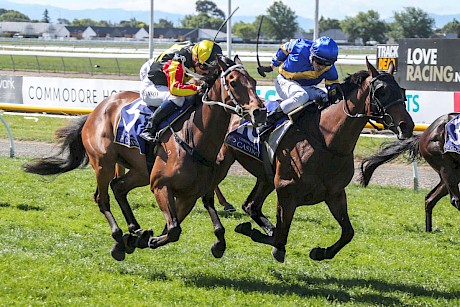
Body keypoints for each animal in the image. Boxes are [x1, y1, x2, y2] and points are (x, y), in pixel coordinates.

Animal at [23, 54, 266, 260]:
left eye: (254, 81)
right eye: (233, 82)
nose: (259, 112)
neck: (194, 137)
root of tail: (97, 110)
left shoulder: (190, 194)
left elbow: (180, 226)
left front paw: (143, 238)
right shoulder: (160, 186)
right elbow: (174, 229)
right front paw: (143, 239)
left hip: (140, 171)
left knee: (119, 187)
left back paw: (133, 230)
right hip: (104, 163)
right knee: (102, 198)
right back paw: (119, 239)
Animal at [208, 59, 414, 264]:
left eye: (401, 91)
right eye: (381, 91)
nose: (407, 126)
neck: (326, 141)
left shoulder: (335, 194)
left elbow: (348, 232)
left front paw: (320, 252)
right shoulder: (286, 191)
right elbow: (280, 239)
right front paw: (255, 233)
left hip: (266, 177)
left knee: (251, 205)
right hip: (223, 161)